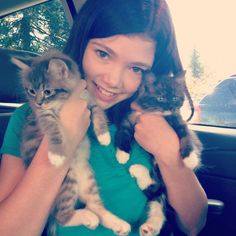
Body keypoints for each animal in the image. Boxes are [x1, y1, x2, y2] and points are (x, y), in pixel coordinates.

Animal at [12, 51, 131, 236]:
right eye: (31, 91)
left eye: (47, 91)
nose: (38, 103)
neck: (64, 101)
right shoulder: (43, 116)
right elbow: (53, 130)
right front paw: (56, 154)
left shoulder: (89, 99)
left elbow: (98, 113)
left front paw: (104, 136)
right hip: (66, 181)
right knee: (62, 216)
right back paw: (88, 217)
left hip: (88, 179)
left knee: (94, 205)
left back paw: (116, 223)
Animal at [115, 70, 202, 236]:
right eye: (160, 98)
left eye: (174, 98)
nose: (170, 106)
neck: (159, 115)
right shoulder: (130, 118)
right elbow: (124, 133)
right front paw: (122, 154)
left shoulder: (178, 121)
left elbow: (186, 137)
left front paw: (190, 159)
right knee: (154, 194)